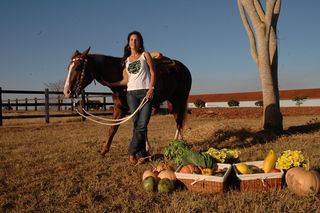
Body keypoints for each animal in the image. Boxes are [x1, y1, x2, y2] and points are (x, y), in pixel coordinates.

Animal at [63, 47, 191, 156]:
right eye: (68, 68)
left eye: (78, 67)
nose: (67, 91)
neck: (120, 75)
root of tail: (183, 68)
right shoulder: (120, 108)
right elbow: (113, 128)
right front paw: (104, 150)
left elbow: (140, 126)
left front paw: (145, 149)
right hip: (172, 101)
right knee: (179, 120)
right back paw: (180, 141)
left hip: (180, 100)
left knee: (179, 121)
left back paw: (176, 144)